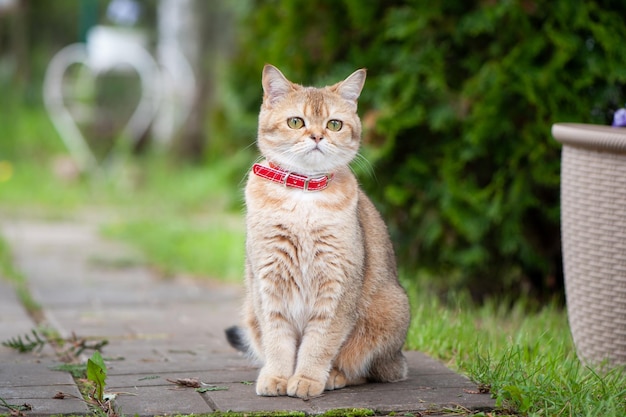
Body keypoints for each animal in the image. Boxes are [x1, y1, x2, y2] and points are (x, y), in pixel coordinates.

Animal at [224, 63, 410, 398]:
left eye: (334, 124)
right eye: (296, 121)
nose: (317, 136)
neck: (304, 197)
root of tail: (399, 358)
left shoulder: (337, 286)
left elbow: (319, 342)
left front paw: (307, 378)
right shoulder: (268, 284)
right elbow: (278, 341)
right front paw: (277, 376)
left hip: (389, 311)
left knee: (366, 370)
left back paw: (334, 376)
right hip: (249, 312)